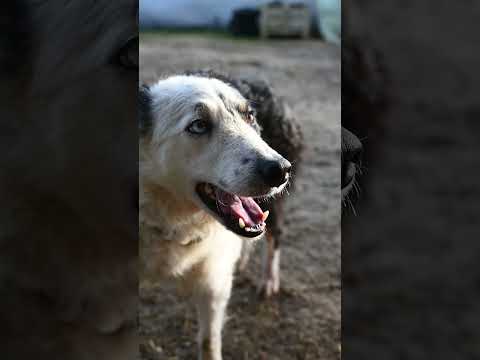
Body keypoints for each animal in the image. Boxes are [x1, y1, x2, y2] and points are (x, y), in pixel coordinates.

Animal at [138, 74, 288, 358]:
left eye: (249, 116)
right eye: (199, 125)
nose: (281, 170)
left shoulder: (213, 283)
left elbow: (209, 342)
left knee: (274, 235)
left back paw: (268, 280)